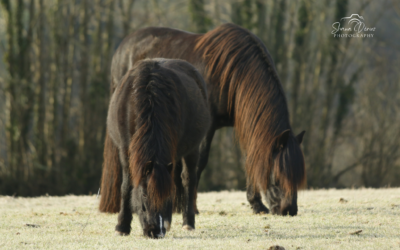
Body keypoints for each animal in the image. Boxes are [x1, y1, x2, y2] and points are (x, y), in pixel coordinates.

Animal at [101, 23, 306, 215]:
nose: (289, 210)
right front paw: (191, 207)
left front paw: (257, 204)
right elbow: (199, 164)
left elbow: (250, 158)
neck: (231, 73)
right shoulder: (207, 128)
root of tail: (122, 49)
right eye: (278, 177)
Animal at [106, 59, 212, 238]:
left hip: (192, 150)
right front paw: (122, 226)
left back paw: (188, 223)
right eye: (144, 195)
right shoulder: (125, 151)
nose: (155, 231)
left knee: (189, 179)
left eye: (167, 196)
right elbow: (126, 186)